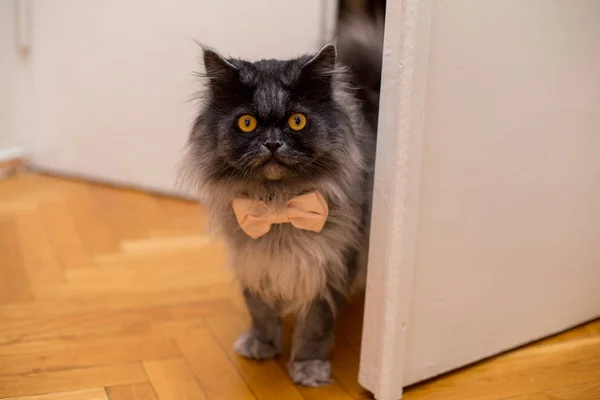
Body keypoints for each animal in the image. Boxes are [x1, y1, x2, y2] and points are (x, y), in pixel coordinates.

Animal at [179, 16, 384, 388]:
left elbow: (314, 329)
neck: (277, 207)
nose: (272, 143)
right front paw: (262, 345)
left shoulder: (327, 270)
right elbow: (260, 312)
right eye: (247, 123)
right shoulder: (254, 259)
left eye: (297, 121)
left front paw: (308, 368)